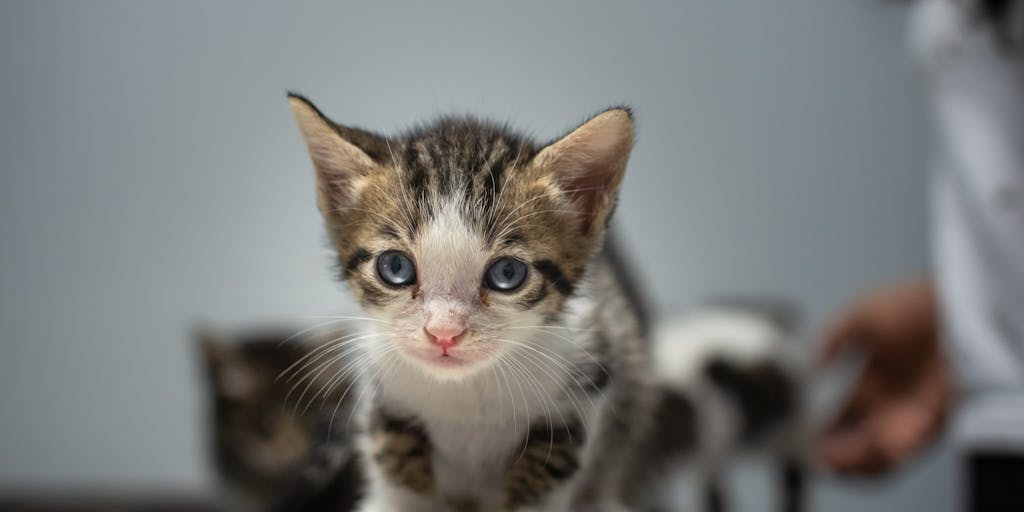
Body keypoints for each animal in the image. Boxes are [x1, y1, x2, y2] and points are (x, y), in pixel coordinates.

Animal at [288, 96, 655, 512]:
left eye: (507, 273)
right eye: (395, 267)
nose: (443, 332)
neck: (465, 392)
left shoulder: (587, 376)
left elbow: (548, 468)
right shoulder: (383, 396)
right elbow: (397, 465)